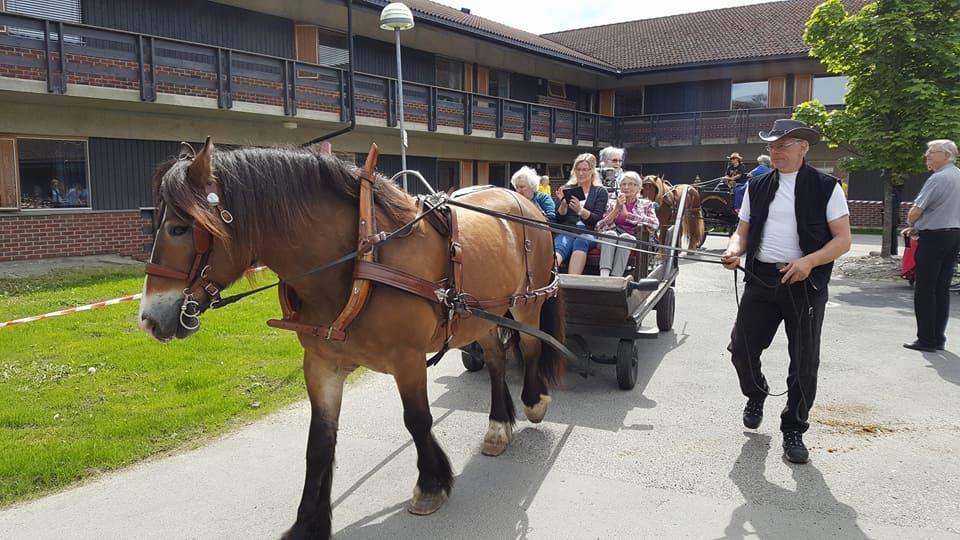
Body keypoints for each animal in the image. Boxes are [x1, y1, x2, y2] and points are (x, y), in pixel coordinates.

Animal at [139, 140, 568, 540]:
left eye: (179, 229)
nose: (148, 319)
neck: (360, 259)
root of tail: (523, 201)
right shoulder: (322, 364)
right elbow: (319, 441)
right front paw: (308, 521)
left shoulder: (408, 359)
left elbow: (417, 420)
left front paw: (431, 484)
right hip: (478, 316)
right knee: (495, 358)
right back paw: (498, 425)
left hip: (526, 304)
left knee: (530, 348)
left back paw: (533, 402)